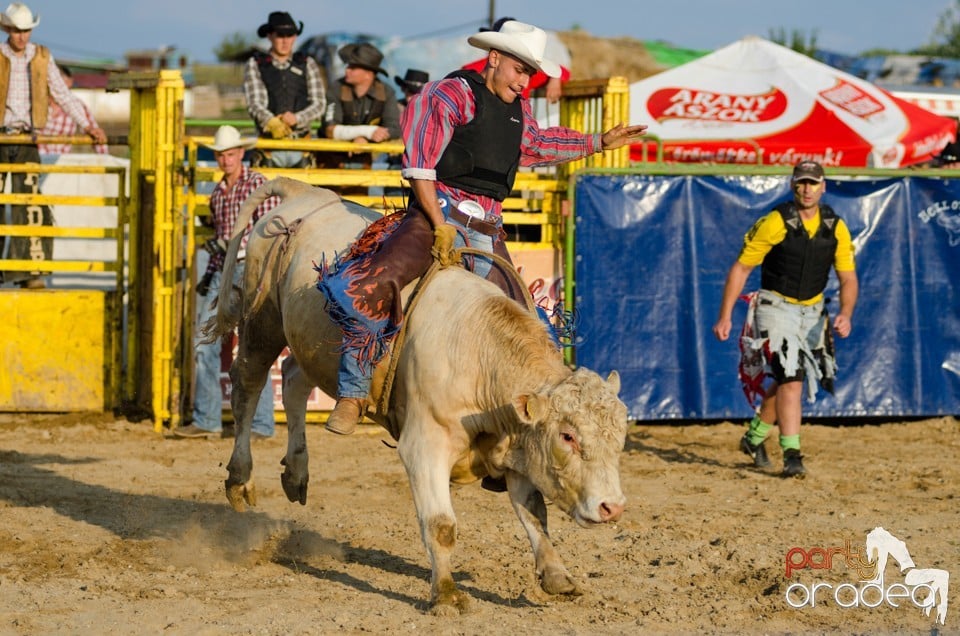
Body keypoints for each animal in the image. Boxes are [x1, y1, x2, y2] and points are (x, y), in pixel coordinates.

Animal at [204, 176, 632, 612]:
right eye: (568, 436)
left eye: (620, 439)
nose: (612, 507)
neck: (478, 353)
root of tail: (304, 193)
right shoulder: (424, 445)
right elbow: (441, 525)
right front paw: (445, 594)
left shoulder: (516, 445)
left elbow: (534, 513)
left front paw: (556, 575)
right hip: (263, 320)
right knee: (248, 385)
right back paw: (240, 480)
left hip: (312, 342)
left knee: (292, 379)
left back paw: (296, 473)